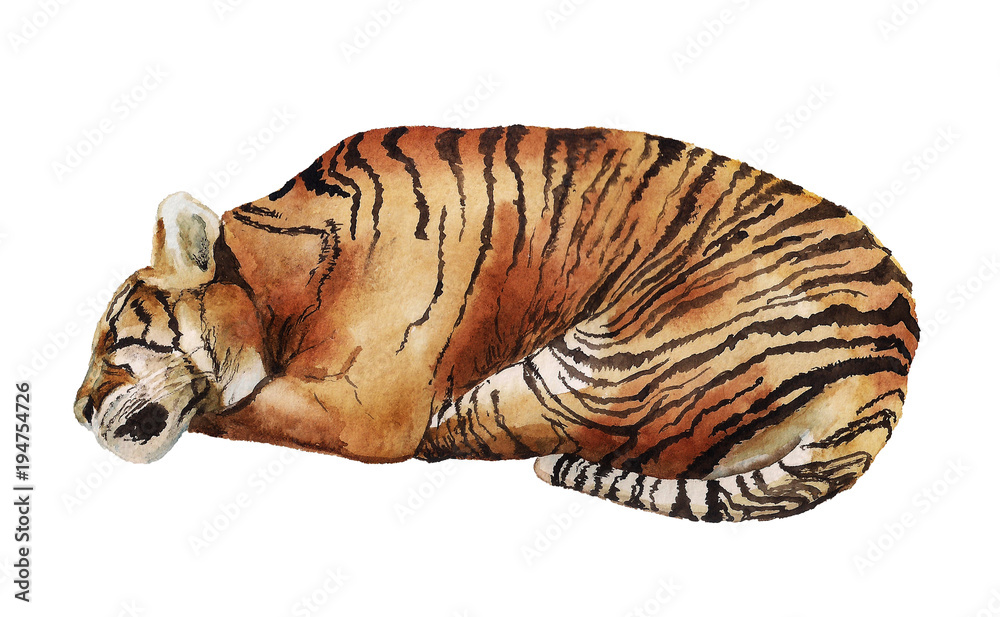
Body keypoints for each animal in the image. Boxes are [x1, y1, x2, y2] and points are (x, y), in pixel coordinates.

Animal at [74, 125, 918, 522]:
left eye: (116, 338)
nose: (77, 412)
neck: (291, 279)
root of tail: (891, 367)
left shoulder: (371, 410)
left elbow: (234, 408)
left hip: (589, 366)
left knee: (472, 433)